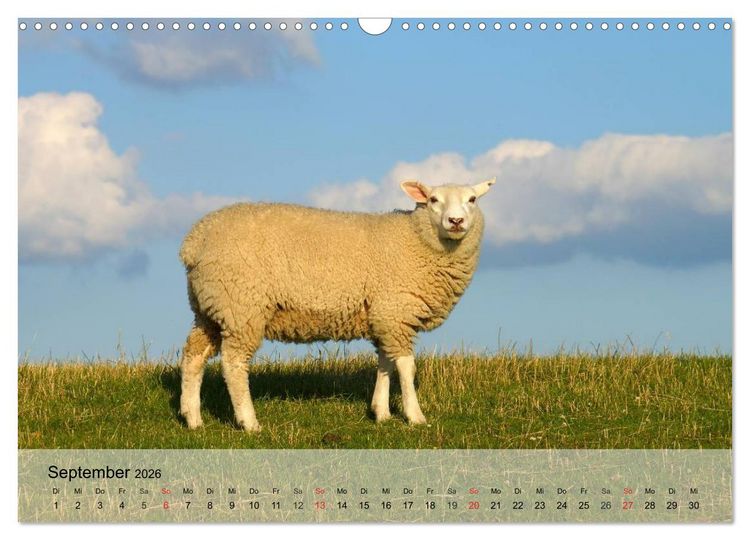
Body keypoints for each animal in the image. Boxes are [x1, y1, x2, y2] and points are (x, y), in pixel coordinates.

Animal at [178, 179, 495, 432]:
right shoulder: (395, 311)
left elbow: (385, 363)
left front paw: (381, 412)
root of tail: (194, 241)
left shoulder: (383, 315)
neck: (415, 240)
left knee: (194, 356)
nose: (456, 221)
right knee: (233, 364)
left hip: (209, 309)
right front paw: (415, 416)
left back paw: (193, 418)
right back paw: (249, 422)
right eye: (432, 200)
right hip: (241, 306)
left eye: (472, 199)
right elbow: (406, 367)